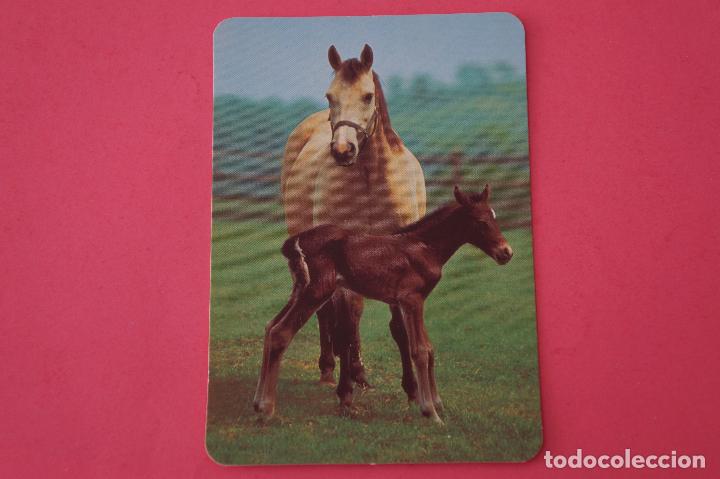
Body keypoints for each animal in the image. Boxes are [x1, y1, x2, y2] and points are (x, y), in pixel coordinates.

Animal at [254, 185, 513, 423]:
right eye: (481, 222)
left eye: (494, 217)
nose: (506, 252)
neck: (424, 247)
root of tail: (294, 241)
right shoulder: (412, 299)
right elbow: (419, 350)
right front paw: (430, 412)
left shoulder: (409, 301)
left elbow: (428, 348)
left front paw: (437, 403)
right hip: (317, 291)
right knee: (281, 333)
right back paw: (267, 409)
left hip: (300, 290)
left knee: (269, 326)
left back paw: (257, 403)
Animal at [280, 44, 426, 387]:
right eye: (329, 95)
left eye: (368, 96)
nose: (343, 150)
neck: (372, 181)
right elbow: (347, 318)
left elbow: (397, 325)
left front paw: (410, 387)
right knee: (327, 311)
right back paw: (329, 369)